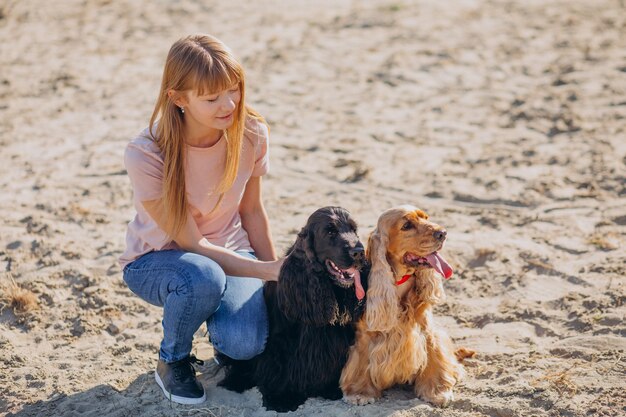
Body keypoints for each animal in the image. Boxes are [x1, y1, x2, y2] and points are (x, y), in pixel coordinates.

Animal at [218, 206, 366, 412]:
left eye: (354, 230)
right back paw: (236, 381)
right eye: (330, 232)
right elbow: (279, 368)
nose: (359, 252)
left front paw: (330, 388)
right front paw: (281, 398)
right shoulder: (280, 343)